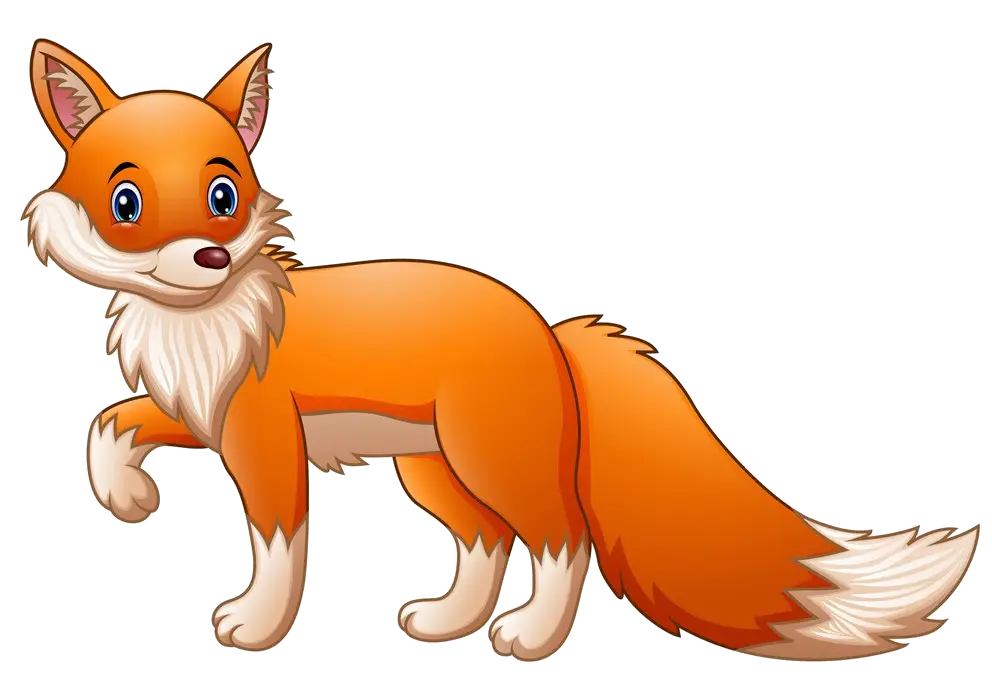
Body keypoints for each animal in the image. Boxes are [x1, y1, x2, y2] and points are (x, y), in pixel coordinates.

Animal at [22, 38, 981, 662]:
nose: (211, 258)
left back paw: (526, 637)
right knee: (487, 539)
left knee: (562, 538)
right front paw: (129, 494)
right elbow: (110, 424)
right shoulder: (204, 413)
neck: (208, 318)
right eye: (129, 204)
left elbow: (279, 542)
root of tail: (548, 328)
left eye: (223, 194)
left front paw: (256, 625)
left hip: (491, 460)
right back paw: (451, 623)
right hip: (434, 471)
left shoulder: (263, 443)